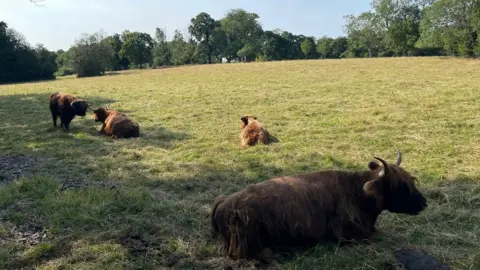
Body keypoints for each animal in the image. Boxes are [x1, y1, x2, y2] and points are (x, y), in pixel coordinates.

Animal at [210, 150, 428, 262]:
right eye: (400, 186)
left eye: (411, 181)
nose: (424, 203)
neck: (357, 193)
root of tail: (224, 203)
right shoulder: (348, 235)